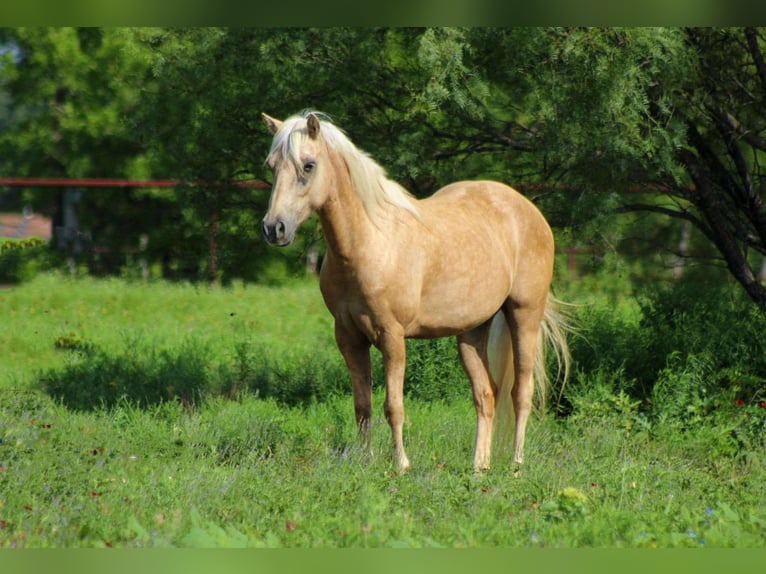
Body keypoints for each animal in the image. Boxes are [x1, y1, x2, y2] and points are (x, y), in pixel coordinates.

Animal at [261, 110, 570, 473]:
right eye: (271, 165)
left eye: (308, 165)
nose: (274, 228)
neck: (370, 241)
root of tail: (529, 211)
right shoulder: (349, 337)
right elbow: (362, 405)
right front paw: (366, 461)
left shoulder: (392, 336)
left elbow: (393, 406)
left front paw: (401, 465)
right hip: (470, 332)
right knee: (486, 394)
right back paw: (479, 466)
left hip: (524, 315)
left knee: (521, 392)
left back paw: (516, 464)